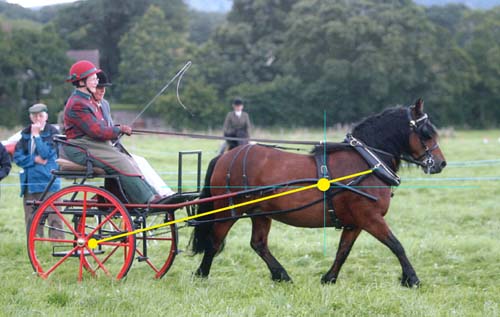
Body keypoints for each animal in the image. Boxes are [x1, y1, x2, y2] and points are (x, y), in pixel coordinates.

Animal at [190, 99, 446, 286]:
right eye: (426, 133)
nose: (440, 164)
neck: (366, 161)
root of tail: (226, 157)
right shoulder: (370, 218)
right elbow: (396, 245)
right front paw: (411, 278)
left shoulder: (355, 223)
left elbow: (343, 250)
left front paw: (329, 278)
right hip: (230, 211)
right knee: (214, 241)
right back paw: (202, 273)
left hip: (260, 212)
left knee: (258, 244)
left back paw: (281, 275)